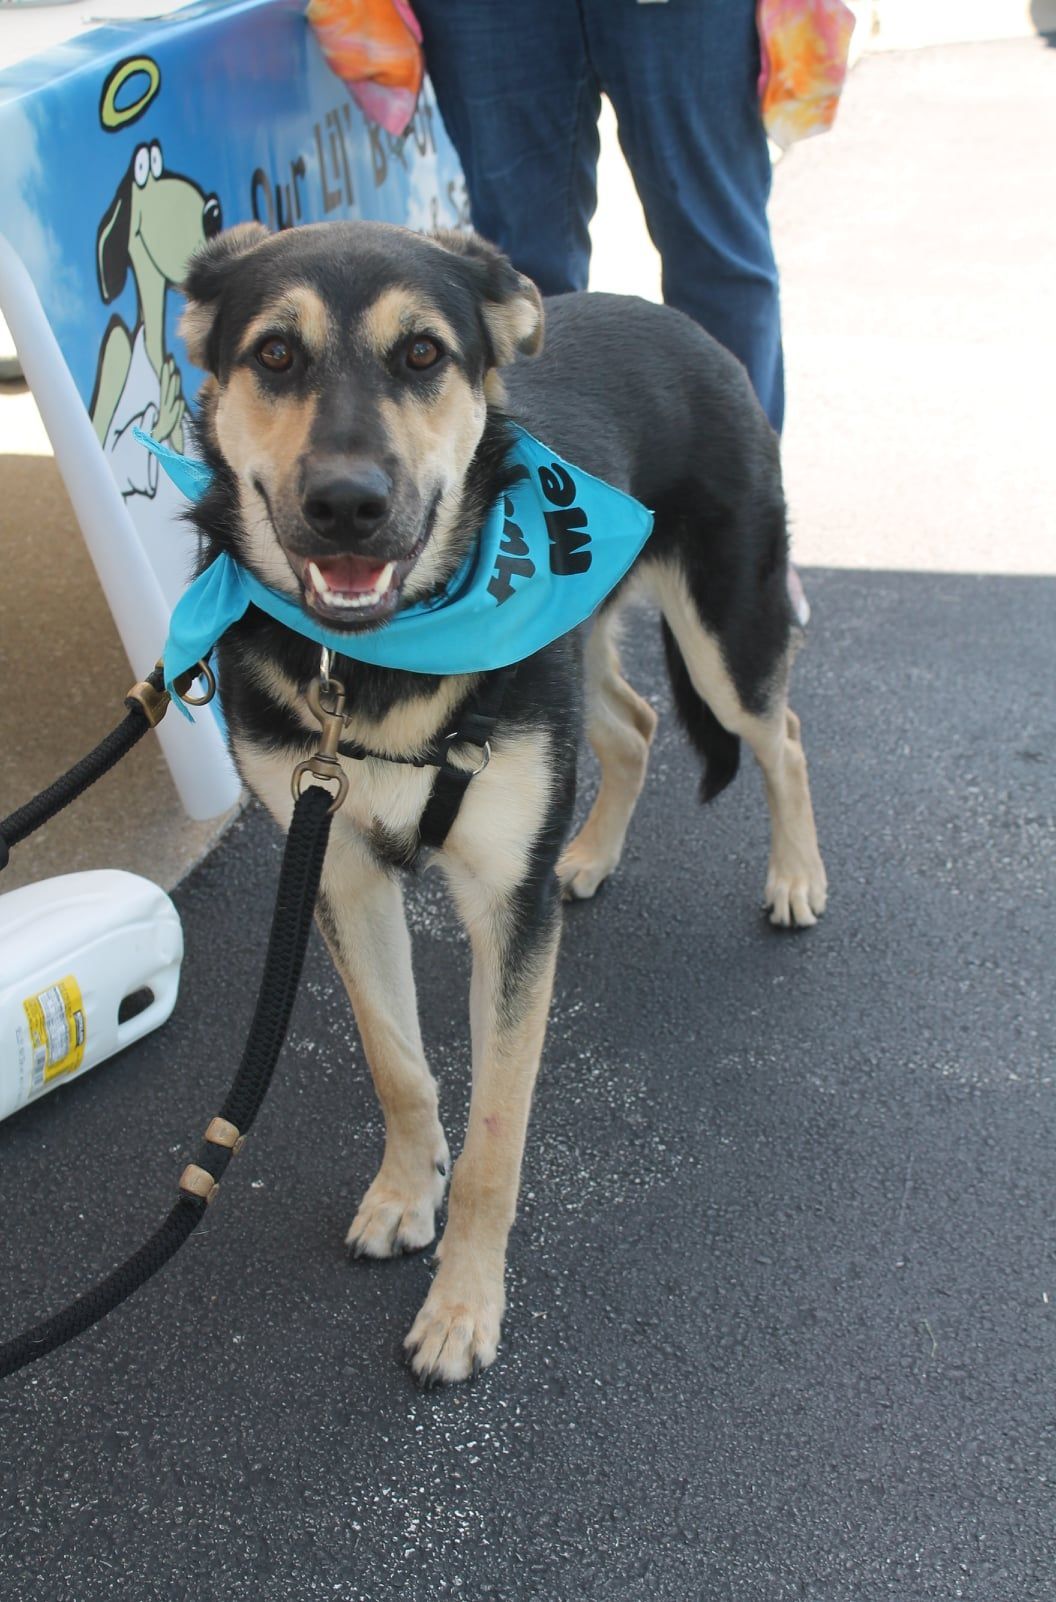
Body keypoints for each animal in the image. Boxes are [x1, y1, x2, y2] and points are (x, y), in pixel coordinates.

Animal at [177, 219, 833, 1384]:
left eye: (423, 355)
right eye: (275, 355)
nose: (347, 505)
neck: (379, 660)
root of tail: (676, 319)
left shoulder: (503, 913)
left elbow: (497, 1136)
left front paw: (464, 1306)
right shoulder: (338, 873)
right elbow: (397, 1064)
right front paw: (406, 1193)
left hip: (727, 629)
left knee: (780, 737)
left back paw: (796, 876)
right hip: (583, 653)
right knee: (634, 727)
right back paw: (590, 854)